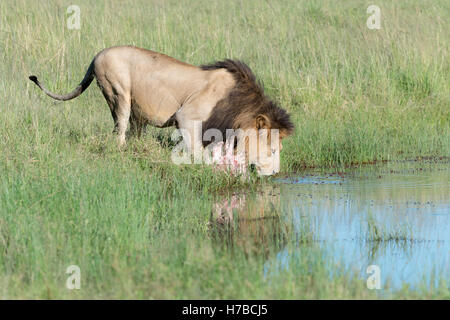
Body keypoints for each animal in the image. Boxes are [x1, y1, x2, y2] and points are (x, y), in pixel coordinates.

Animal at [29, 45, 296, 175]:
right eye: (273, 150)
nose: (274, 174)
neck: (239, 107)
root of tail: (97, 54)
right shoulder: (186, 116)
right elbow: (197, 150)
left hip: (136, 109)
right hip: (118, 92)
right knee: (120, 130)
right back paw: (122, 151)